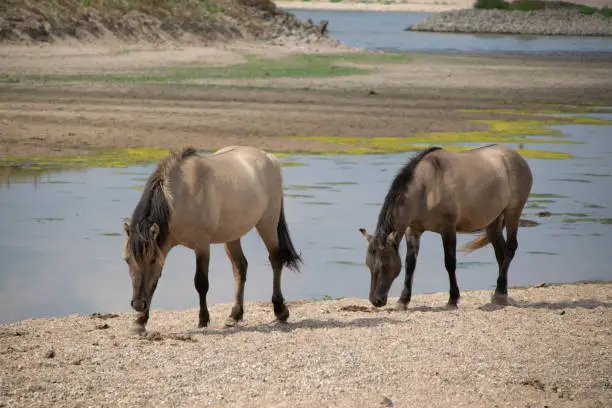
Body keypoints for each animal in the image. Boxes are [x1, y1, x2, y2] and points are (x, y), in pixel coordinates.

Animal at [120, 145, 302, 334]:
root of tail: (269, 158)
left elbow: (201, 283)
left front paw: (203, 319)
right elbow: (154, 283)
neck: (179, 197)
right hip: (232, 235)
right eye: (127, 260)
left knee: (275, 259)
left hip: (267, 224)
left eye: (152, 260)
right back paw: (234, 315)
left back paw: (280, 310)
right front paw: (140, 321)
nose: (138, 304)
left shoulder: (201, 246)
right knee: (240, 267)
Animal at [358, 143, 532, 310]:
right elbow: (410, 265)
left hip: (513, 213)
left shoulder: (448, 229)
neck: (426, 188)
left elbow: (450, 263)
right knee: (501, 254)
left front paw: (452, 299)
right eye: (368, 264)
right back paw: (501, 293)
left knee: (510, 248)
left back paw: (499, 292)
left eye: (385, 264)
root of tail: (518, 158)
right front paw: (403, 300)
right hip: (493, 222)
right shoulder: (413, 231)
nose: (375, 300)